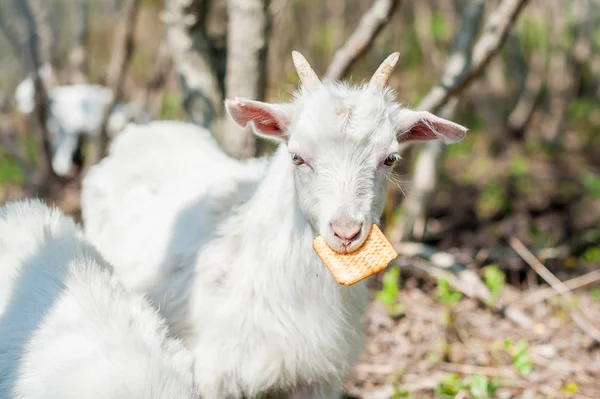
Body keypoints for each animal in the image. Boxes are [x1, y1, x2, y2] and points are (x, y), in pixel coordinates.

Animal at [14, 76, 152, 177]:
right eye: (20, 99)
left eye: (30, 96)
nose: (24, 109)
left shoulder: (69, 130)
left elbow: (63, 147)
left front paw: (60, 167)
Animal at [81, 51, 468, 398]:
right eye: (296, 156)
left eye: (390, 158)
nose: (346, 232)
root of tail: (141, 131)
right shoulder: (215, 373)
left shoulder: (316, 375)